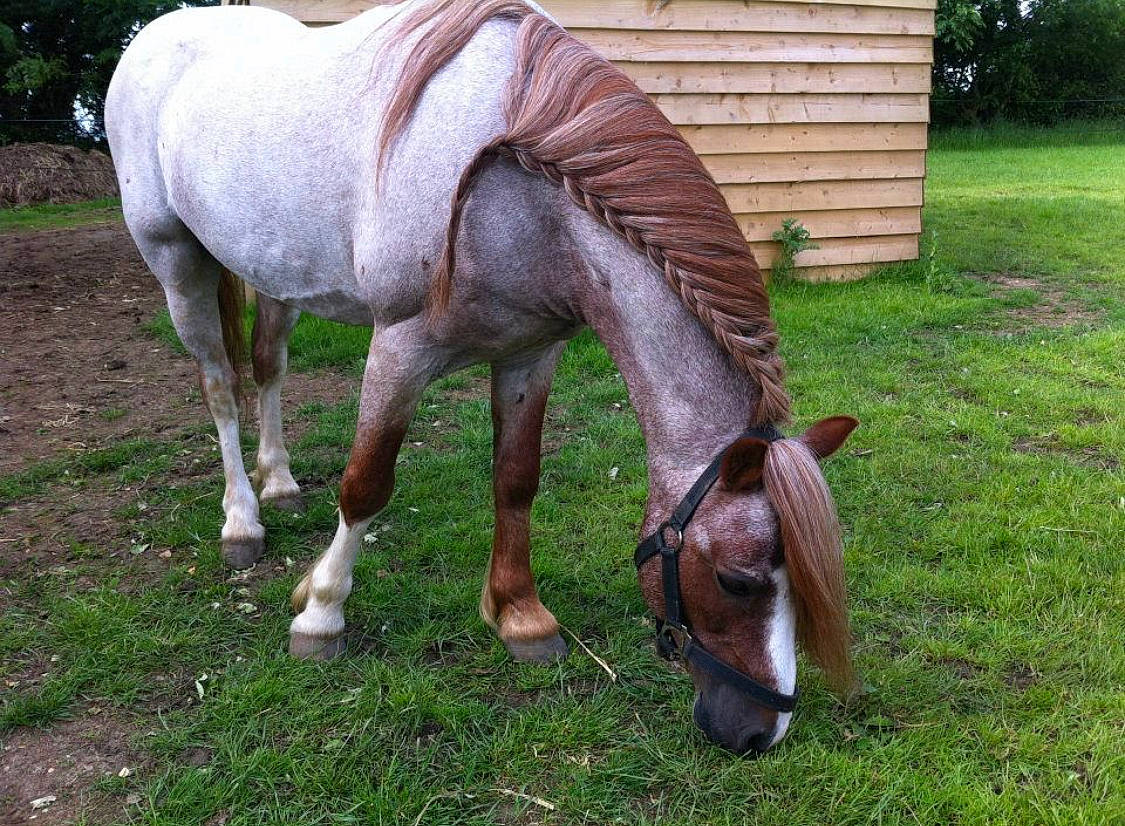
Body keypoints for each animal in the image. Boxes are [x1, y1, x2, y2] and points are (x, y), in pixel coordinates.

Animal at [106, 0, 859, 754]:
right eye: (736, 581)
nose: (760, 734)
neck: (519, 182)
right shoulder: (400, 348)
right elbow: (366, 485)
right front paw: (320, 612)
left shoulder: (530, 354)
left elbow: (516, 479)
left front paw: (520, 615)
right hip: (177, 264)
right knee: (218, 387)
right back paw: (242, 521)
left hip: (275, 275)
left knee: (267, 370)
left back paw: (281, 484)